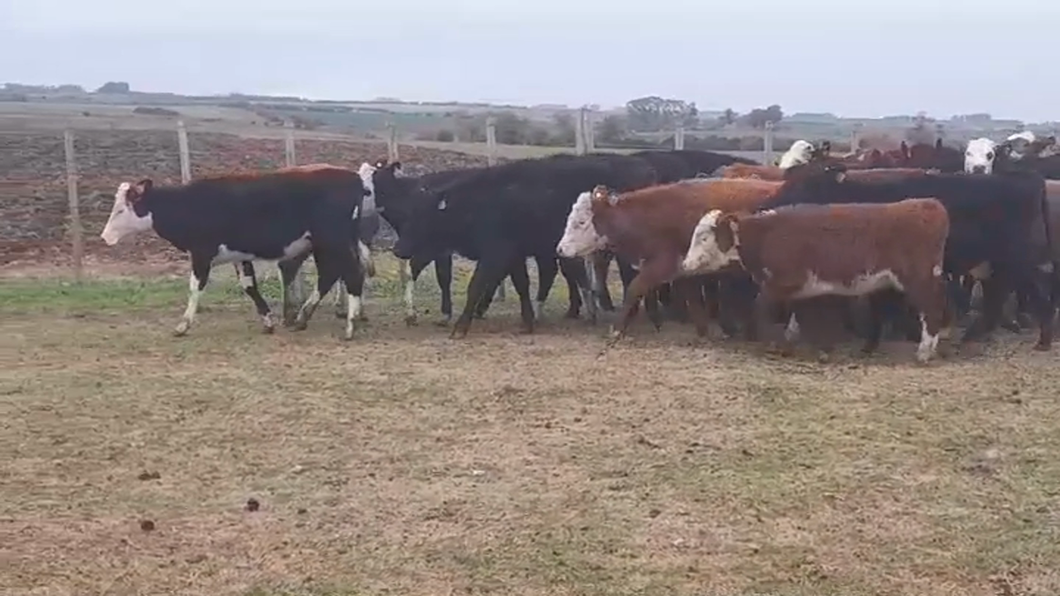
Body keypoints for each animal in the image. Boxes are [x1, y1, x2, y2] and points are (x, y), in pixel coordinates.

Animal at [99, 164, 370, 339]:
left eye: (121, 209)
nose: (104, 237)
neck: (188, 204)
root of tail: (352, 177)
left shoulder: (201, 254)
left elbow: (195, 288)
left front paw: (183, 325)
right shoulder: (239, 256)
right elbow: (249, 286)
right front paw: (267, 321)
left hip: (334, 242)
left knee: (351, 274)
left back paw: (350, 326)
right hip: (326, 245)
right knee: (330, 275)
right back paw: (304, 317)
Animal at [394, 150, 657, 337]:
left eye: (422, 217)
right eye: (408, 214)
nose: (397, 249)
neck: (480, 203)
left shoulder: (495, 255)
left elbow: (476, 286)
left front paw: (461, 326)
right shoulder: (514, 256)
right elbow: (522, 284)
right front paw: (528, 320)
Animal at [682, 197, 958, 362]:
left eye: (704, 237)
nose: (685, 264)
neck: (766, 234)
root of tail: (927, 204)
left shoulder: (781, 283)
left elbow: (761, 308)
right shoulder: (803, 288)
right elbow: (802, 315)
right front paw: (806, 345)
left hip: (920, 279)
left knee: (932, 309)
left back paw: (924, 351)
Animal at [763, 160, 1051, 349]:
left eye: (806, 186)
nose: (768, 204)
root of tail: (1025, 178)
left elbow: (880, 304)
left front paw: (873, 341)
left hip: (1017, 261)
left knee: (1030, 296)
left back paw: (1039, 340)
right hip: (1003, 264)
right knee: (1002, 299)